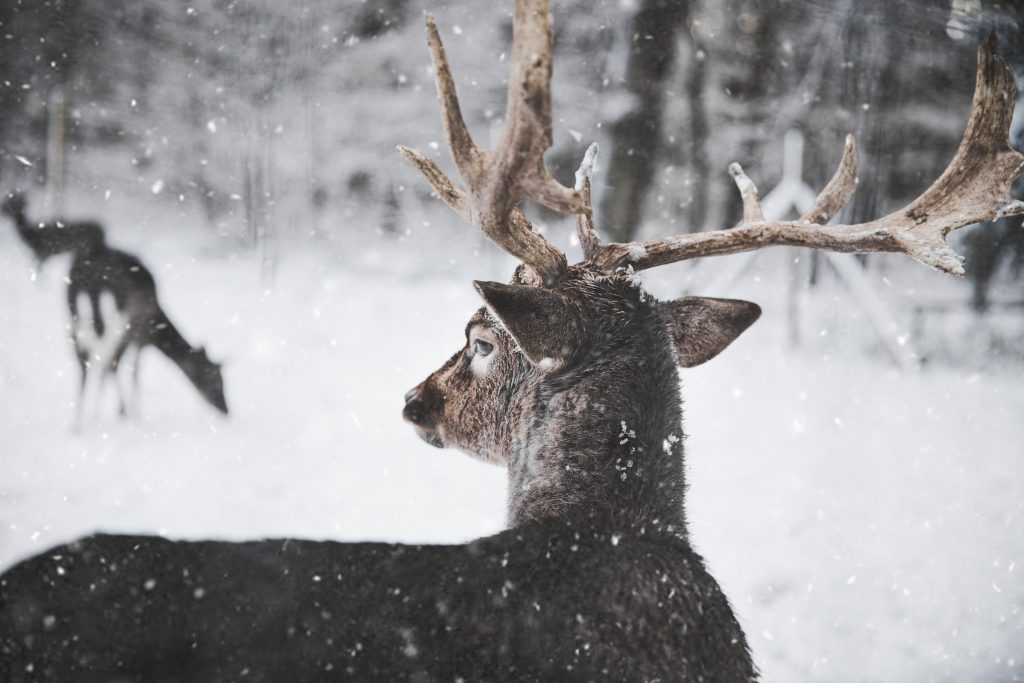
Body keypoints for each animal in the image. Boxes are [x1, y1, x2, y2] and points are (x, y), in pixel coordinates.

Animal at [2, 191, 228, 428]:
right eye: (215, 378)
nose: (226, 410)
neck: (157, 325)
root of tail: (89, 280)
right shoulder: (139, 333)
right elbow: (132, 371)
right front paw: (131, 414)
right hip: (115, 318)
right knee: (105, 361)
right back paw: (105, 415)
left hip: (74, 315)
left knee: (84, 363)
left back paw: (78, 423)